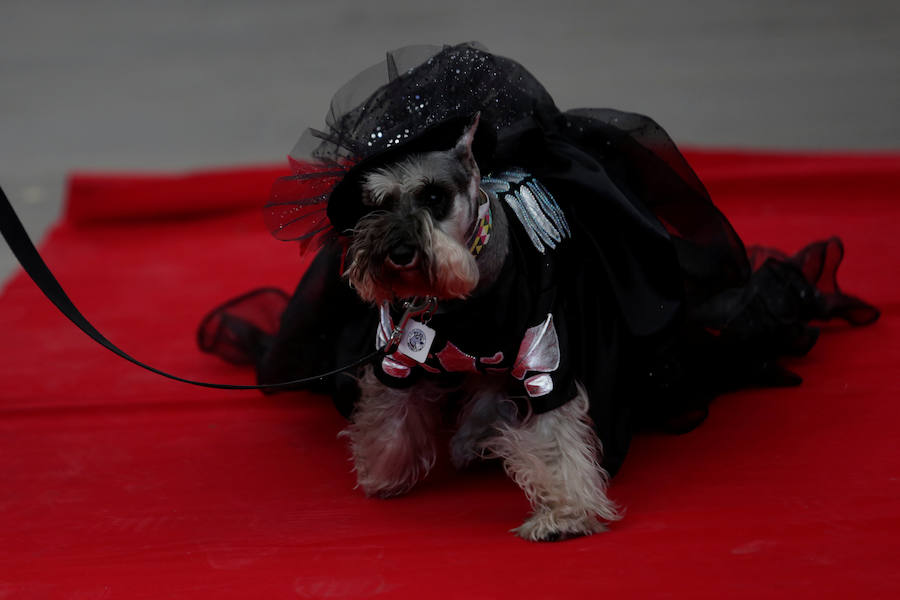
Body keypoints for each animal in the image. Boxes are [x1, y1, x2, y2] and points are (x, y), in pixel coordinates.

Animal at [338, 111, 620, 540]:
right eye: (379, 203)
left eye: (433, 196)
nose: (399, 253)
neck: (461, 295)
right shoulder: (394, 356)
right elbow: (388, 414)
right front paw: (383, 469)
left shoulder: (545, 359)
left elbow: (556, 436)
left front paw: (565, 514)